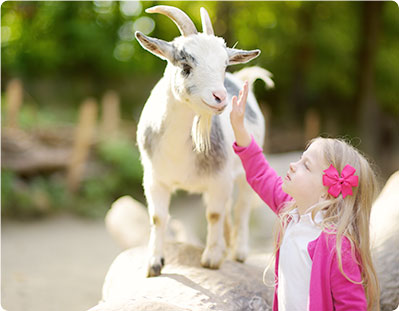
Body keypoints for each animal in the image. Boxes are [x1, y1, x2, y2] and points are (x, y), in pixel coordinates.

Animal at [136, 5, 274, 278]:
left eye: (224, 65)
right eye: (185, 64)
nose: (220, 97)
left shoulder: (219, 179)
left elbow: (214, 215)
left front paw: (211, 258)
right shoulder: (155, 179)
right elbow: (158, 218)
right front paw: (154, 264)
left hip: (243, 173)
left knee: (242, 208)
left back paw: (238, 251)